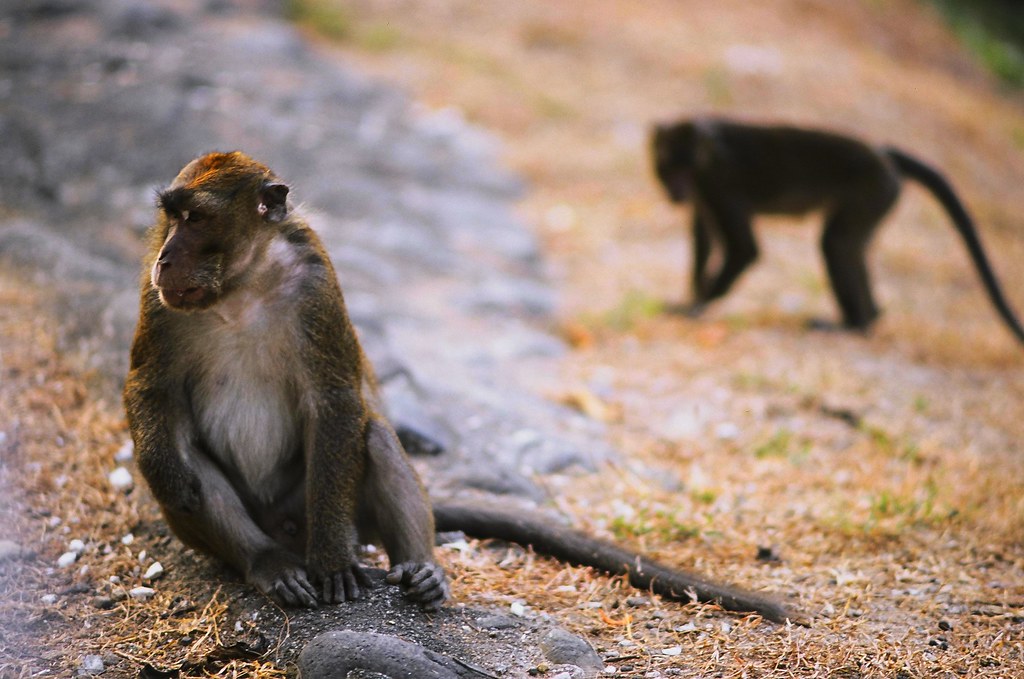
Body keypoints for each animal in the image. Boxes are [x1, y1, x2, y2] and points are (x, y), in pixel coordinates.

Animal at [124, 151, 800, 624]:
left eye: (197, 217)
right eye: (170, 217)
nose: (166, 259)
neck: (243, 286)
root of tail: (287, 528)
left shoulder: (315, 283)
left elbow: (337, 402)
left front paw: (335, 560)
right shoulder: (157, 304)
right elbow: (151, 391)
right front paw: (164, 465)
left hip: (318, 504)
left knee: (374, 438)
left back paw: (419, 568)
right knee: (193, 470)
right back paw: (268, 563)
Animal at [650, 117, 1024, 345]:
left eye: (685, 172)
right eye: (669, 170)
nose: (677, 191)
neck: (707, 155)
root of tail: (883, 153)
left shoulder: (717, 186)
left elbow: (745, 249)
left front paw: (697, 305)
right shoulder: (705, 197)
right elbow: (703, 238)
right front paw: (694, 294)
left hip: (872, 190)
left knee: (836, 243)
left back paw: (853, 325)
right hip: (878, 199)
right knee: (850, 246)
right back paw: (871, 317)